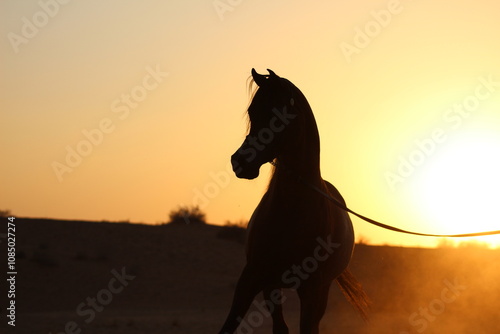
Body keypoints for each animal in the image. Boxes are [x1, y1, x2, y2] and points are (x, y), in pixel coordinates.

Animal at [220, 69, 372, 332]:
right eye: (252, 111)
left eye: (279, 115)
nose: (240, 160)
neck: (291, 211)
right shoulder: (253, 277)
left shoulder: (311, 289)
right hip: (272, 286)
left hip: (320, 291)